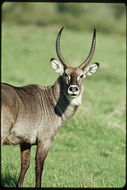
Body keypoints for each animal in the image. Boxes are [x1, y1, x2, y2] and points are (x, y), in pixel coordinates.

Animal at [1, 26, 99, 187]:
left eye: (82, 75)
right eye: (65, 74)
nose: (73, 89)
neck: (51, 101)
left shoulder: (25, 142)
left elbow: (25, 165)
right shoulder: (45, 141)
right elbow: (39, 167)